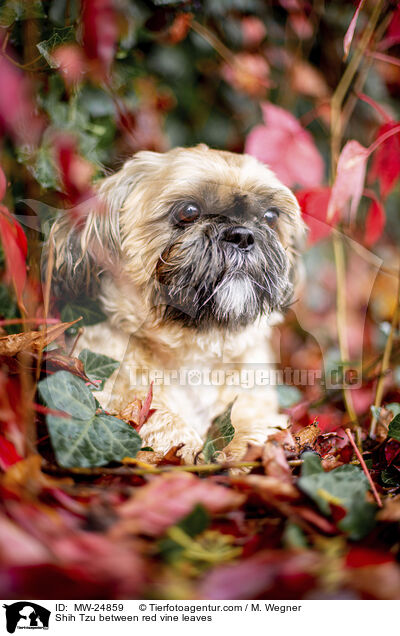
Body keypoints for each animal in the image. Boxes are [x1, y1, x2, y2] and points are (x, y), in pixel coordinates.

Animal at [48, 144, 304, 462]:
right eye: (188, 211)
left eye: (270, 217)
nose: (243, 235)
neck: (194, 352)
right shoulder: (111, 388)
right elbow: (156, 417)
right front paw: (189, 448)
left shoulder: (253, 394)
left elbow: (252, 421)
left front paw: (249, 445)